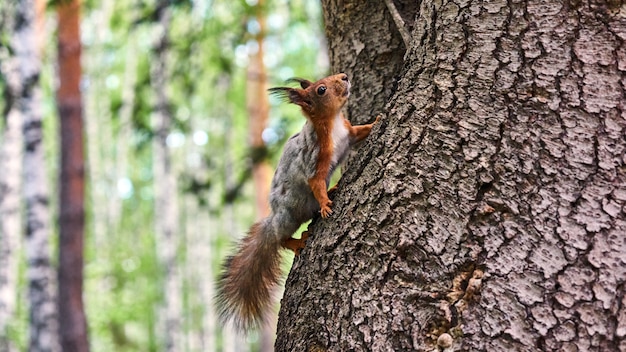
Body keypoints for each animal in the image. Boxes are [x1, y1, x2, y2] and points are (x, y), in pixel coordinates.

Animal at [217, 72, 378, 332]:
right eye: (321, 90)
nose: (344, 76)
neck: (332, 122)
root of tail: (273, 219)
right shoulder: (314, 159)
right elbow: (316, 184)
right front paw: (325, 205)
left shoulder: (349, 133)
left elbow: (360, 131)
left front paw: (377, 121)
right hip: (288, 217)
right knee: (281, 238)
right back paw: (297, 241)